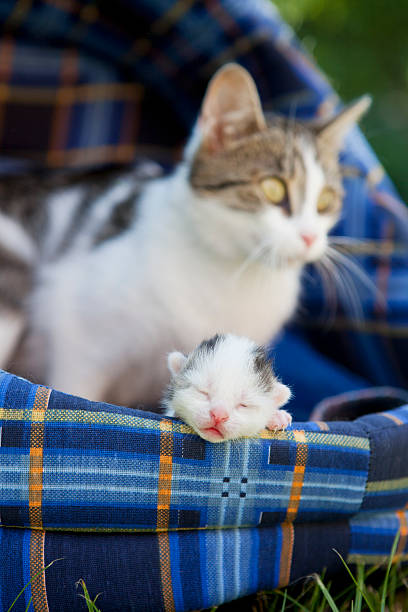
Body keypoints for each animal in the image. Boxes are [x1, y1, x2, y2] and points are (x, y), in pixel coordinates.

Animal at [0, 63, 370, 406]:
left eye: (326, 201)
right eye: (273, 188)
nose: (310, 237)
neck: (234, 272)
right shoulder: (77, 328)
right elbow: (73, 389)